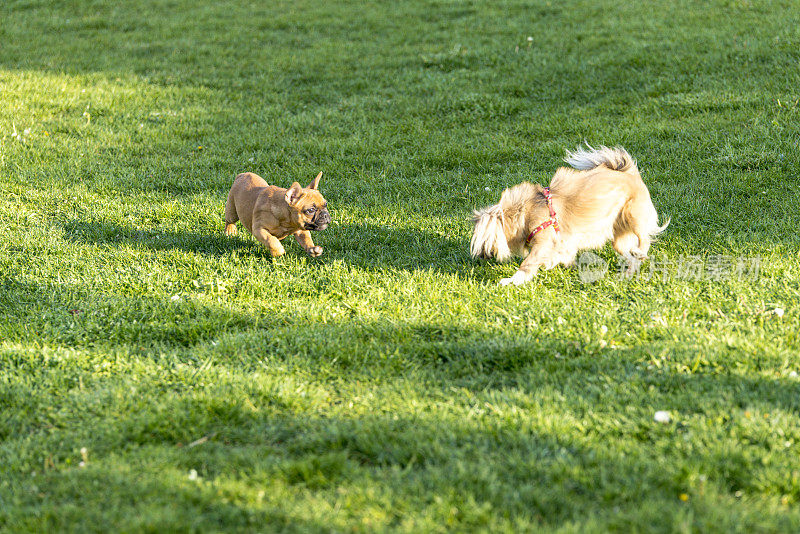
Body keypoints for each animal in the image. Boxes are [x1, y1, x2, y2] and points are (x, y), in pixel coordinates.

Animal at [468, 144, 668, 286]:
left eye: (484, 242)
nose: (481, 257)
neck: (525, 212)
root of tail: (630, 172)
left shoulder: (544, 243)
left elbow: (528, 263)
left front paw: (512, 280)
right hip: (618, 236)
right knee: (630, 255)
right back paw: (628, 272)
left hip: (632, 214)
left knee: (644, 239)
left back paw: (640, 251)